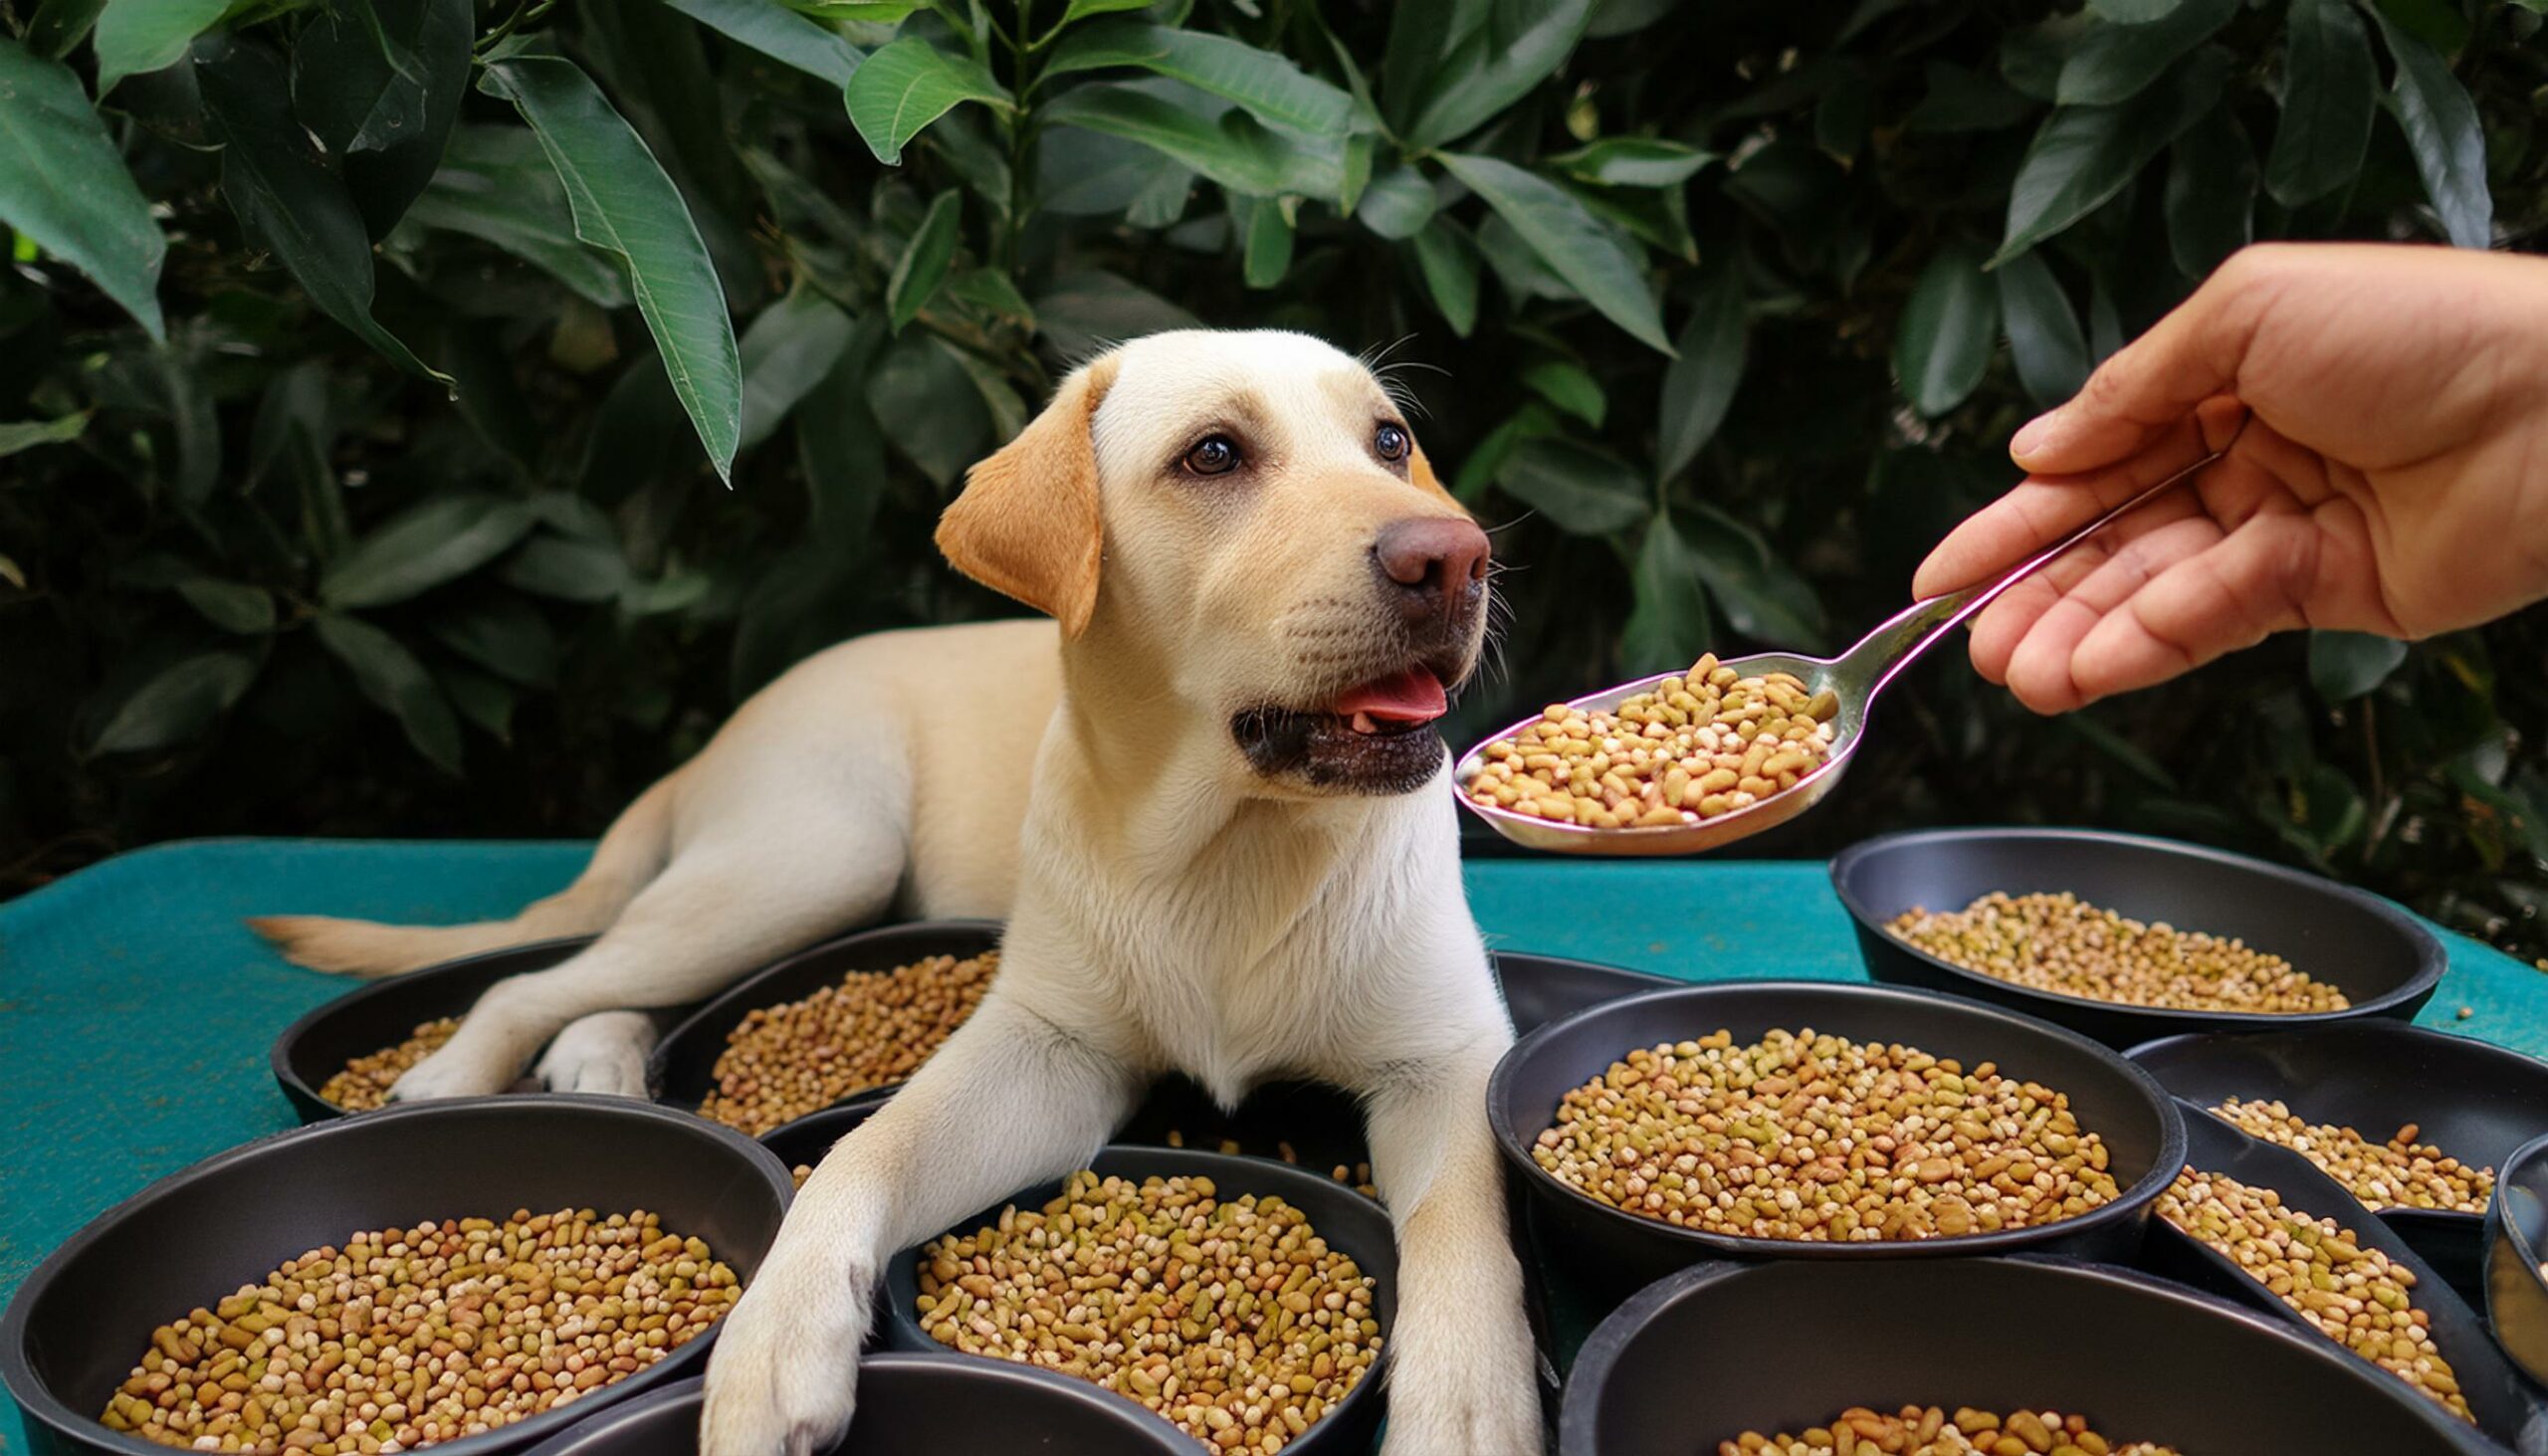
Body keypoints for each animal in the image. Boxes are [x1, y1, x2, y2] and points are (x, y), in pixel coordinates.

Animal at [258, 333, 1539, 1456]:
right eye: (1213, 453)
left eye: (1388, 440)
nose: (1457, 557)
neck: (1232, 844)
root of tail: (744, 713)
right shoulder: (1046, 1049)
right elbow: (868, 1145)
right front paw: (774, 1336)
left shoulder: (1446, 1059)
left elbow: (1462, 1232)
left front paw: (1467, 1408)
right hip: (815, 855)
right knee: (543, 975)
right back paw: (459, 1072)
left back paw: (599, 1057)